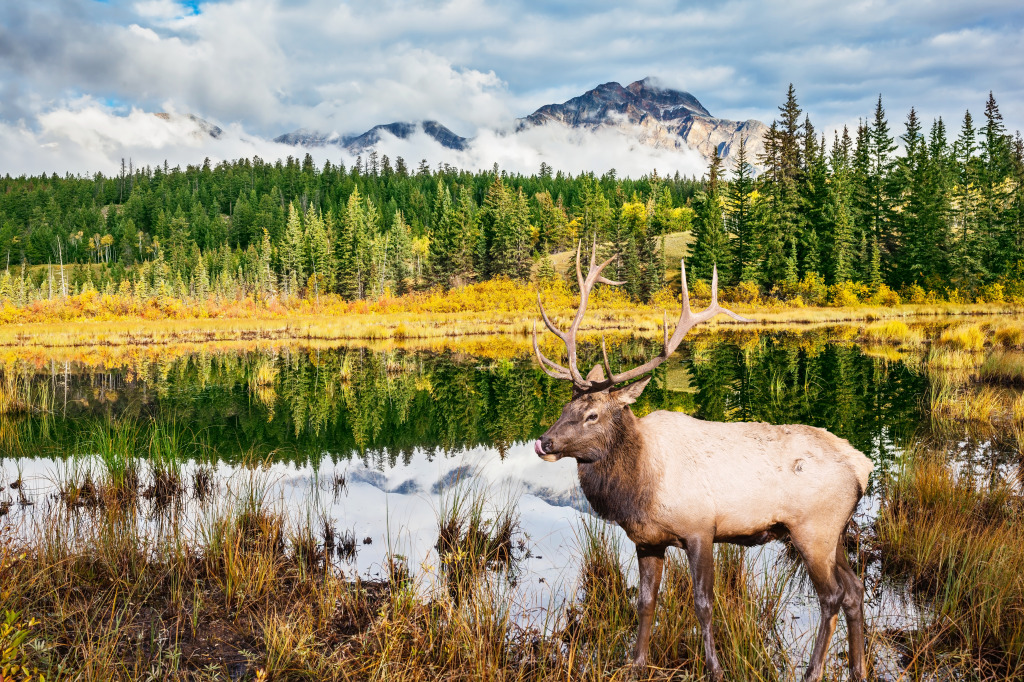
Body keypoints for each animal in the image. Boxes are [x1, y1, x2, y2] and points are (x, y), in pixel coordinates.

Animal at [532, 240, 868, 679]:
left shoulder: (700, 528)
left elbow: (704, 604)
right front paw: (636, 661)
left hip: (813, 528)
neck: (639, 488)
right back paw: (859, 668)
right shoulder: (648, 540)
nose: (545, 442)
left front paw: (715, 668)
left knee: (832, 596)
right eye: (564, 407)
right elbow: (646, 602)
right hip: (836, 532)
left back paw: (813, 671)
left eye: (592, 415)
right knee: (855, 589)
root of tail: (862, 467)